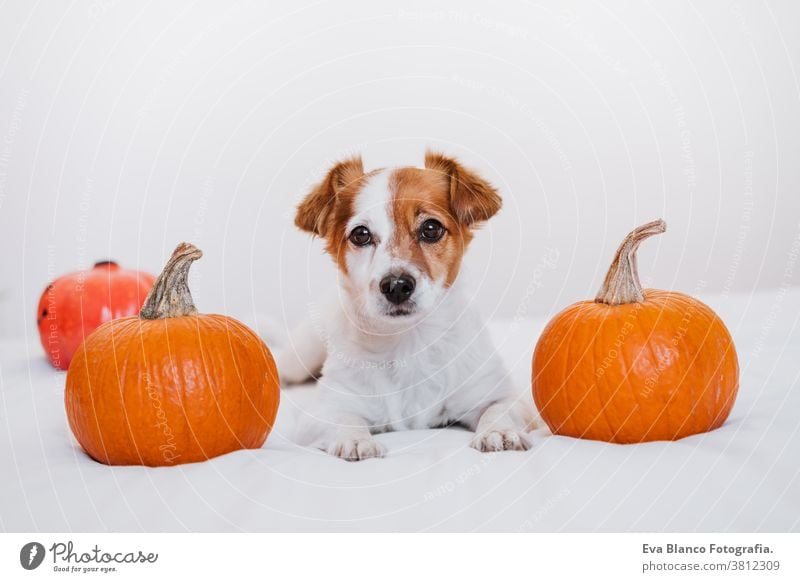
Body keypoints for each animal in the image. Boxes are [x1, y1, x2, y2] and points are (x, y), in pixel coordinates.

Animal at [278, 153, 536, 464]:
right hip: (300, 355)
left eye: (431, 228)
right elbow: (343, 418)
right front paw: (354, 438)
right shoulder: (321, 411)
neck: (409, 342)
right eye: (360, 235)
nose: (397, 286)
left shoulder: (501, 394)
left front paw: (499, 431)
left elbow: (499, 409)